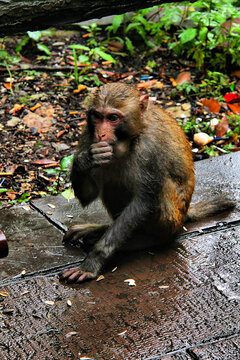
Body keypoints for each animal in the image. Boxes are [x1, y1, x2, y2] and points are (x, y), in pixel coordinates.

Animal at [59, 82, 235, 284]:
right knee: (112, 182)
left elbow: (144, 201)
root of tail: (185, 214)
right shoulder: (88, 135)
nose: (101, 134)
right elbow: (88, 195)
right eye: (97, 116)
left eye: (113, 118)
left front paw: (93, 261)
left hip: (172, 218)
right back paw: (101, 230)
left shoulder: (150, 147)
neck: (132, 136)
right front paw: (87, 159)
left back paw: (144, 240)